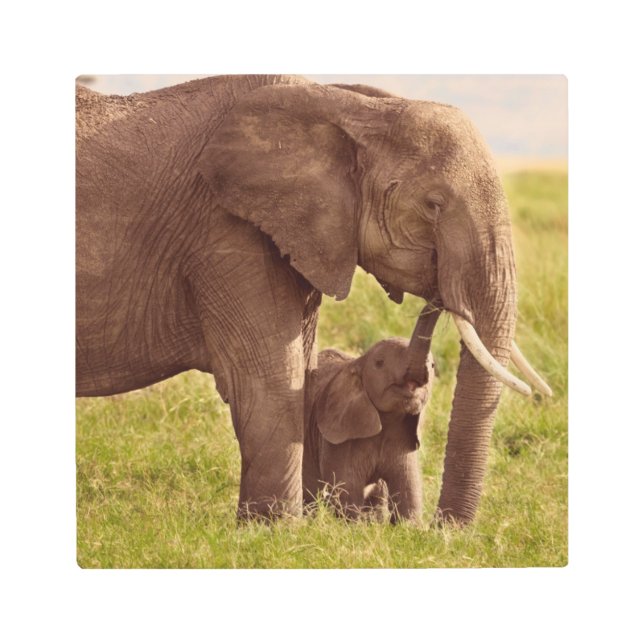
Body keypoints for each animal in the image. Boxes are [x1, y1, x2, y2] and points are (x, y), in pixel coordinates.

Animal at [303, 306, 440, 524]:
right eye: (379, 363)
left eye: (433, 366)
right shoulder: (339, 440)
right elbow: (347, 491)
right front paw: (353, 525)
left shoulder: (404, 437)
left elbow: (408, 491)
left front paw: (408, 527)